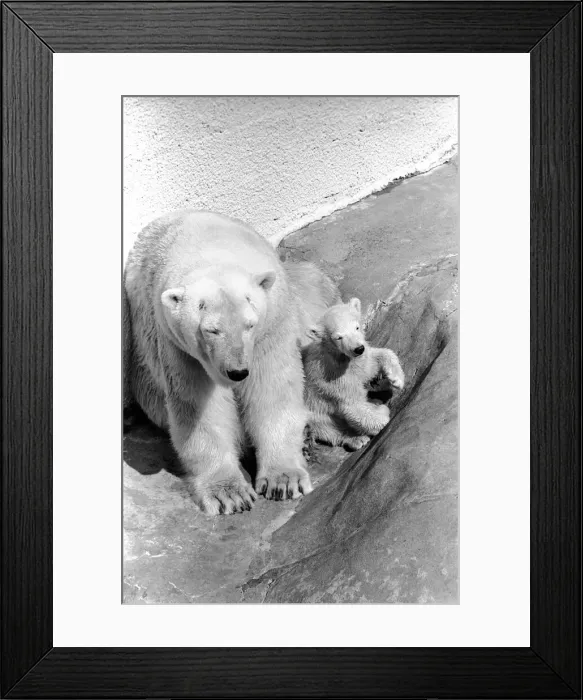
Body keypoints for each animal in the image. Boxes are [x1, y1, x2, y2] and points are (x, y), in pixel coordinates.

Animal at [124, 210, 338, 515]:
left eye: (250, 324)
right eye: (211, 330)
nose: (237, 372)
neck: (212, 246)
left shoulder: (272, 327)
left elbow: (272, 389)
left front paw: (284, 481)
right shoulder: (180, 349)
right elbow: (200, 409)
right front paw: (230, 494)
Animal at [302, 297, 405, 451]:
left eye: (356, 327)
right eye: (338, 337)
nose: (358, 348)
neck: (341, 357)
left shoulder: (358, 362)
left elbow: (374, 361)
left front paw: (396, 379)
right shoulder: (333, 377)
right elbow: (353, 406)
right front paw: (383, 413)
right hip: (310, 410)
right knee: (326, 426)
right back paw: (356, 438)